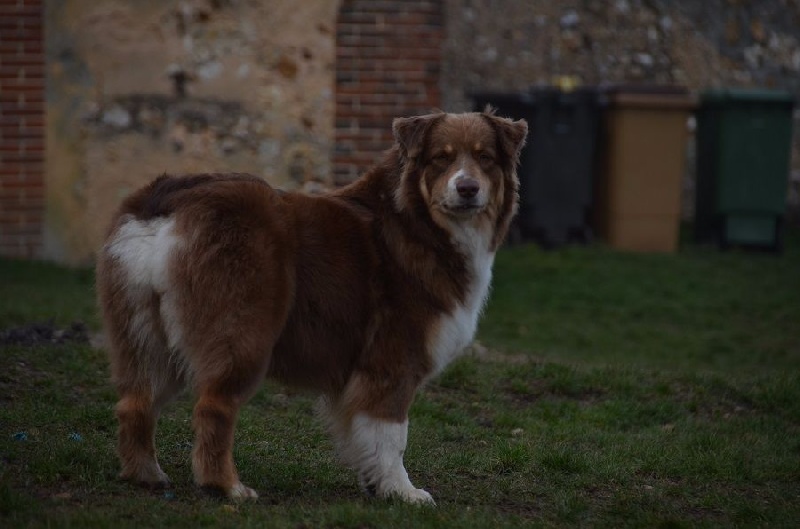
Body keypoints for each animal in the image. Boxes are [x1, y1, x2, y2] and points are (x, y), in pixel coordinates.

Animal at [97, 108, 528, 504]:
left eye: (485, 157)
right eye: (441, 157)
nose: (468, 188)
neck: (419, 222)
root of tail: (169, 196)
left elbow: (367, 438)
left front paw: (376, 485)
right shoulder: (392, 361)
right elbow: (392, 435)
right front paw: (402, 491)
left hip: (144, 336)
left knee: (134, 403)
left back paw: (146, 475)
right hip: (243, 335)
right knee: (212, 407)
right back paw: (228, 487)